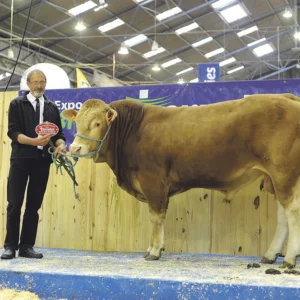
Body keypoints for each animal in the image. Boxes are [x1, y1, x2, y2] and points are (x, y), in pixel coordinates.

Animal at [62, 93, 300, 268]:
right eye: (77, 122)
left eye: (97, 123)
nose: (75, 148)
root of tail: (287, 97)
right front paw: (155, 248)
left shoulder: (153, 181)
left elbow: (156, 217)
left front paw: (154, 251)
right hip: (274, 179)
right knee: (282, 217)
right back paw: (270, 255)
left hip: (284, 174)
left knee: (293, 213)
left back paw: (288, 260)